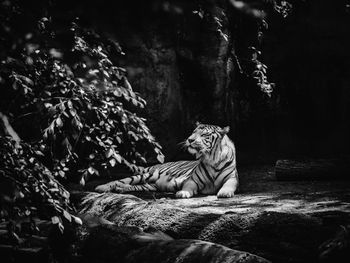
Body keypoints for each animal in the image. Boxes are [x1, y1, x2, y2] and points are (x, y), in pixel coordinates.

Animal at [94, 122, 239, 199]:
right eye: (193, 132)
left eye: (204, 135)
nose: (190, 139)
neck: (211, 157)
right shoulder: (193, 180)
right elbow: (188, 186)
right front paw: (183, 193)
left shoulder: (232, 178)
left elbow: (228, 184)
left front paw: (225, 192)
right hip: (148, 175)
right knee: (121, 180)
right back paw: (102, 187)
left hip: (150, 184)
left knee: (132, 186)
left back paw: (120, 189)